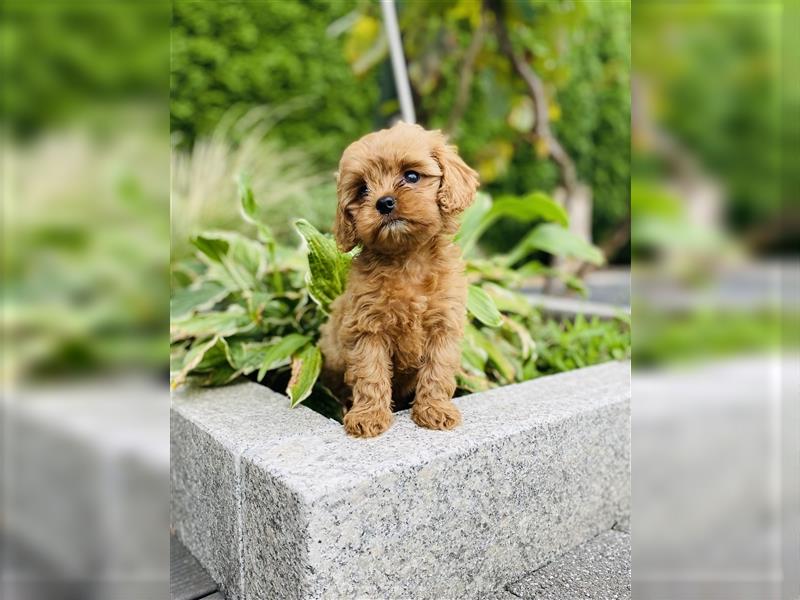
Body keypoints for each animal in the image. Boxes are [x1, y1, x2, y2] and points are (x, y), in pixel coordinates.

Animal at [320, 124, 482, 438]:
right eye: (362, 189)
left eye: (411, 176)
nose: (384, 202)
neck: (408, 259)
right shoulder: (367, 327)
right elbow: (370, 372)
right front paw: (369, 416)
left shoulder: (443, 324)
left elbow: (438, 369)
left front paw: (434, 410)